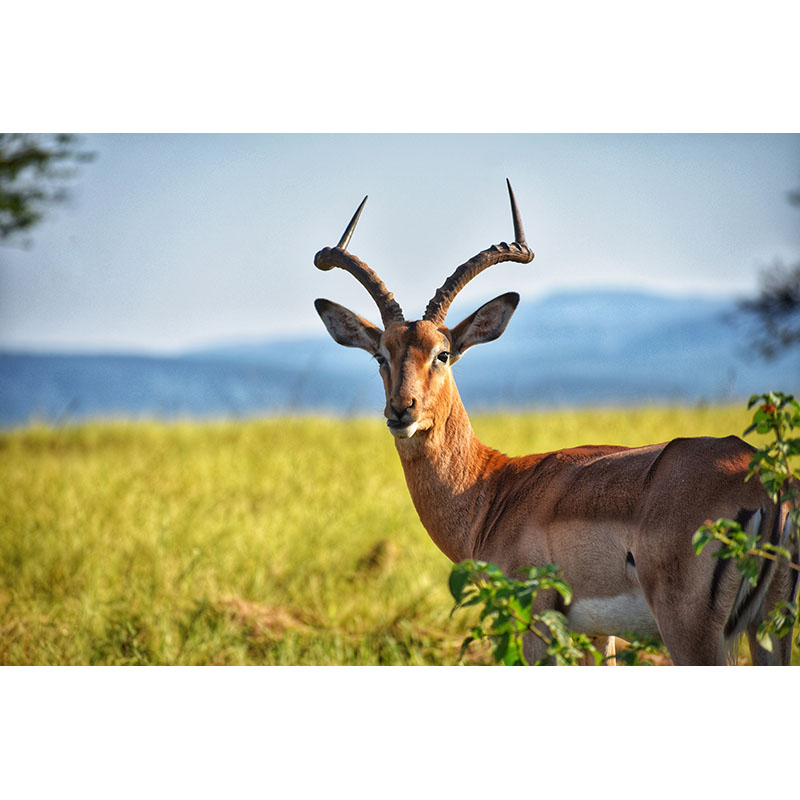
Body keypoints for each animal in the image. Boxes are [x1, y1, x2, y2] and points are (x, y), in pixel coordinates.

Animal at [312, 181, 792, 664]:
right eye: (381, 355)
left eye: (442, 353)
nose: (401, 410)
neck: (493, 489)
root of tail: (765, 484)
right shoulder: (598, 634)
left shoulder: (536, 619)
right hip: (767, 630)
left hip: (692, 632)